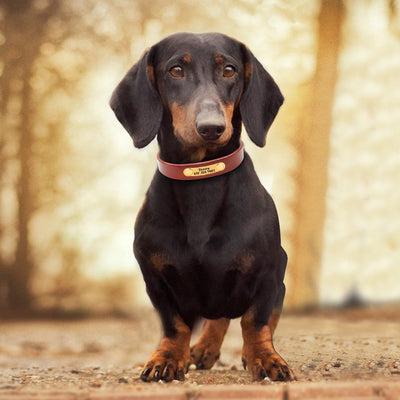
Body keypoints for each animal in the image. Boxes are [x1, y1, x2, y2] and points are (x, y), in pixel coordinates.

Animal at [109, 32, 294, 382]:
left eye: (230, 70)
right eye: (176, 70)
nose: (211, 127)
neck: (201, 179)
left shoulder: (268, 272)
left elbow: (256, 321)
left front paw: (265, 357)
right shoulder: (155, 278)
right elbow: (174, 325)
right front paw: (167, 358)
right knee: (216, 317)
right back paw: (203, 348)